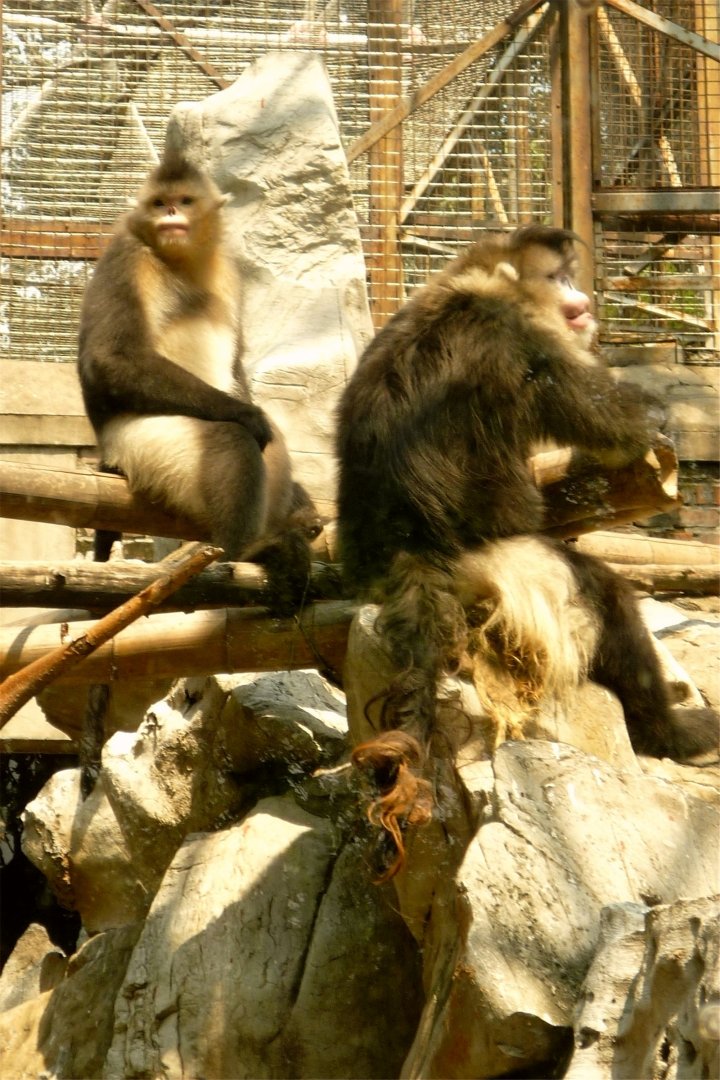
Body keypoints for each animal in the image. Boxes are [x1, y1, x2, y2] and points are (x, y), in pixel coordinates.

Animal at [336, 224, 719, 874]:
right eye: (558, 276)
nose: (580, 297)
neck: (481, 283)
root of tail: (419, 554)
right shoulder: (518, 338)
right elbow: (612, 424)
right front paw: (653, 418)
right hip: (523, 578)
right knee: (608, 599)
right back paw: (673, 734)